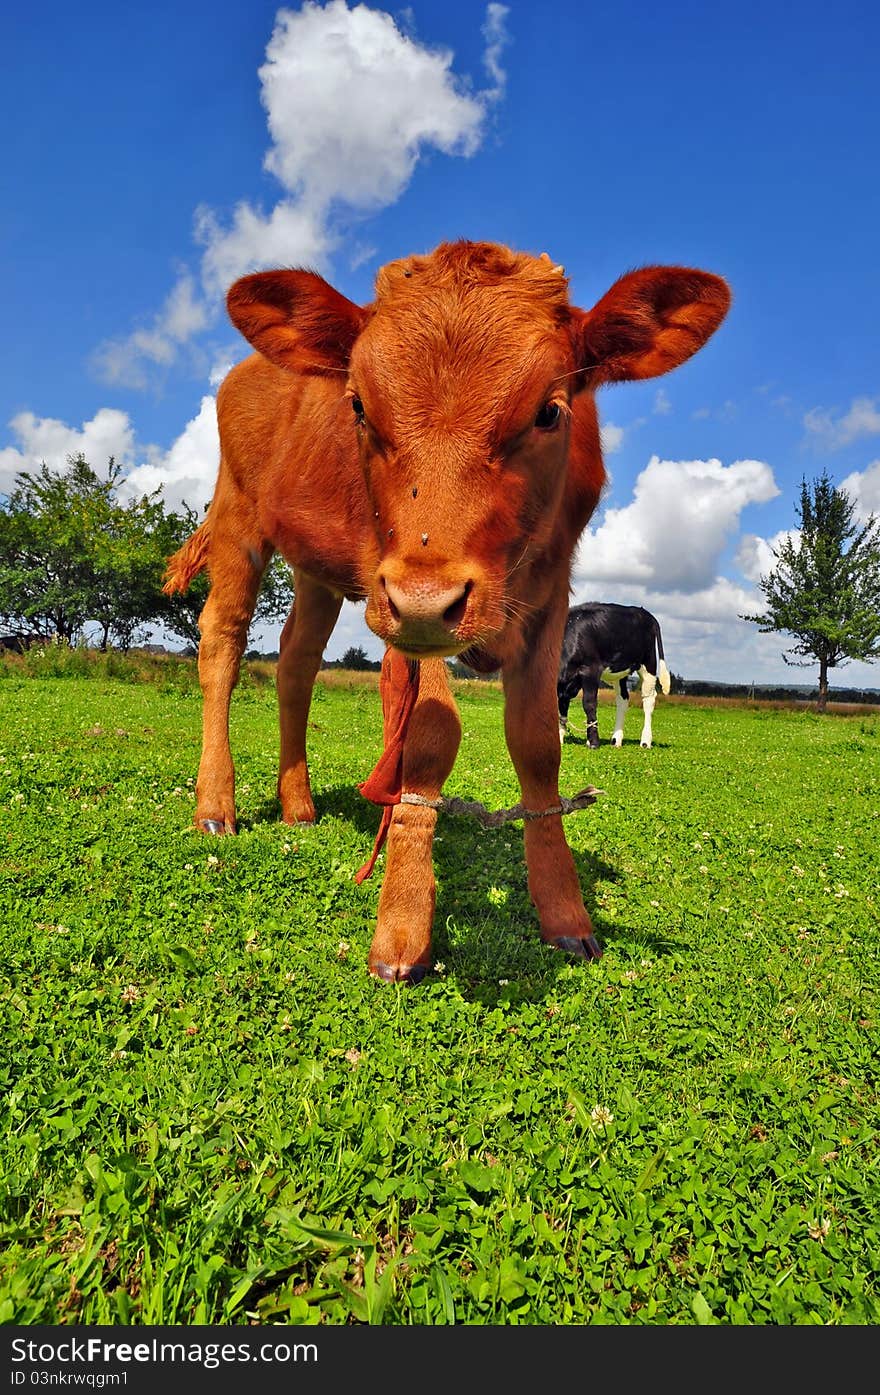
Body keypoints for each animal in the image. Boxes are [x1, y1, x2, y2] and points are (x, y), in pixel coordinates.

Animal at [560, 602, 672, 753]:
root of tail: (644, 613)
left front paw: (593, 742)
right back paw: (616, 740)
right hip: (621, 672)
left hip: (648, 663)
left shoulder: (591, 671)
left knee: (648, 698)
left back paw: (645, 741)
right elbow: (562, 708)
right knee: (623, 699)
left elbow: (589, 703)